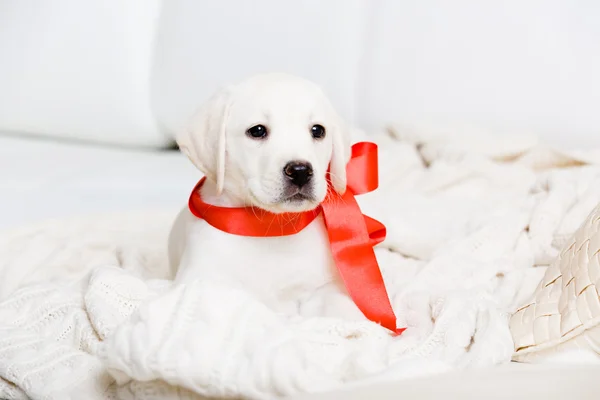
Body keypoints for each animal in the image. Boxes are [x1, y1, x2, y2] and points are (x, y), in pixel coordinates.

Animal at [168, 73, 366, 320]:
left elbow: (336, 308)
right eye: (258, 131)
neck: (271, 228)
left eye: (318, 130)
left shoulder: (327, 286)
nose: (300, 171)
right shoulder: (203, 283)